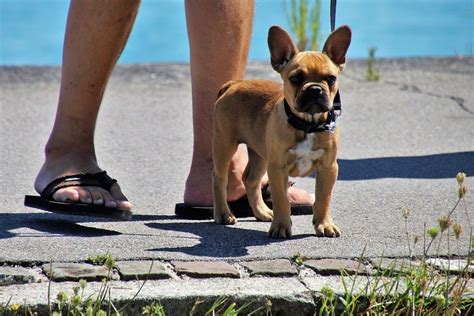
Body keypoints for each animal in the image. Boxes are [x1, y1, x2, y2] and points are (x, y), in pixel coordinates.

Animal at [213, 25, 350, 237]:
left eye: (331, 79)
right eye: (296, 78)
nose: (315, 89)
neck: (307, 124)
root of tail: (234, 84)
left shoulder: (329, 168)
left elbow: (323, 199)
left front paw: (324, 224)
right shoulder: (277, 169)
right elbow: (281, 200)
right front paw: (281, 227)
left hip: (261, 154)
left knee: (251, 180)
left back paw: (262, 212)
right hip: (225, 145)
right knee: (220, 178)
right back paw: (223, 214)